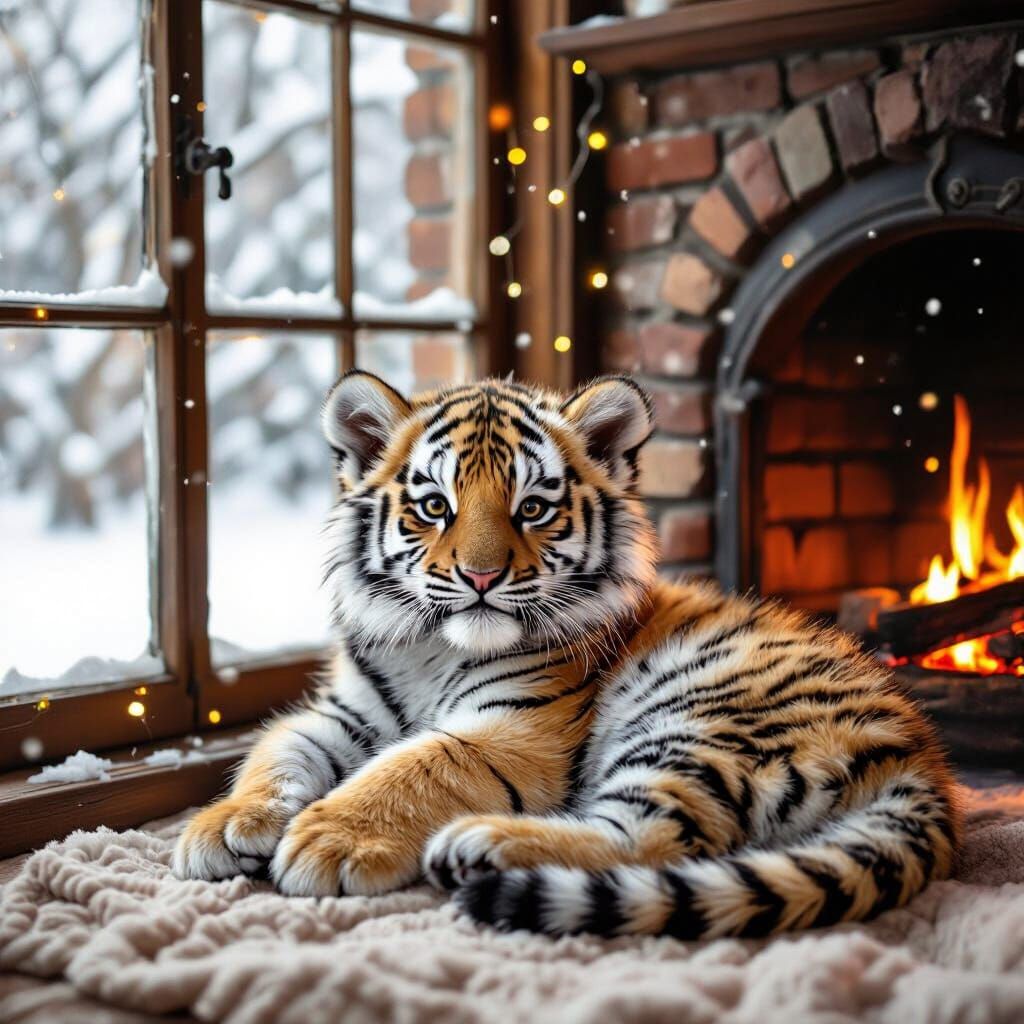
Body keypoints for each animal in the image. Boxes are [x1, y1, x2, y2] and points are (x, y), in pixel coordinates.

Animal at [173, 371, 959, 940]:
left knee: (652, 841)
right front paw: (224, 825)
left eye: (532, 508)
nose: (481, 577)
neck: (429, 650)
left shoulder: (515, 729)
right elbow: (275, 752)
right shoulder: (342, 713)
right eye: (434, 507)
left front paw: (329, 840)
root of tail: (922, 759)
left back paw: (478, 844)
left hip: (698, 718)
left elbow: (416, 765)